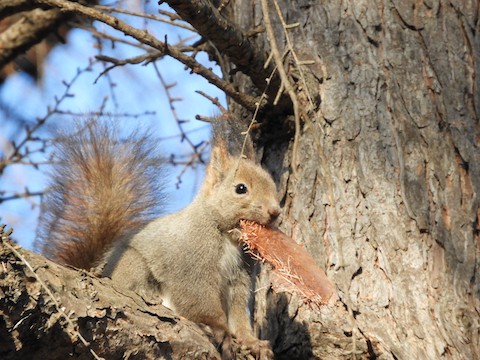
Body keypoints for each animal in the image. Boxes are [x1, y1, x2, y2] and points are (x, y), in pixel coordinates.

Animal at [37, 116, 282, 358]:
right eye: (240, 188)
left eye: (273, 185)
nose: (275, 212)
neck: (226, 235)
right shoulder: (192, 262)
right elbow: (199, 299)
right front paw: (220, 331)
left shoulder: (239, 275)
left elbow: (238, 313)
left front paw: (251, 342)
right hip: (132, 263)